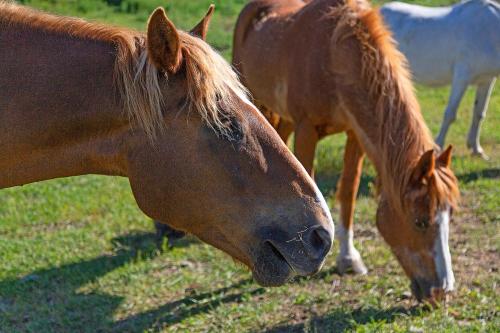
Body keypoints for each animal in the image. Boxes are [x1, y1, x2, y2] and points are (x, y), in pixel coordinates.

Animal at [232, 0, 458, 300]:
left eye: (449, 216)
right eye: (420, 221)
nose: (442, 291)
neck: (333, 55)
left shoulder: (355, 135)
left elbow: (348, 191)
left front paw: (348, 258)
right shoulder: (307, 129)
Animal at [380, 0, 498, 158]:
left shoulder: (487, 80)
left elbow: (479, 113)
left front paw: (476, 149)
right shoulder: (462, 77)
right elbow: (450, 114)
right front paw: (438, 147)